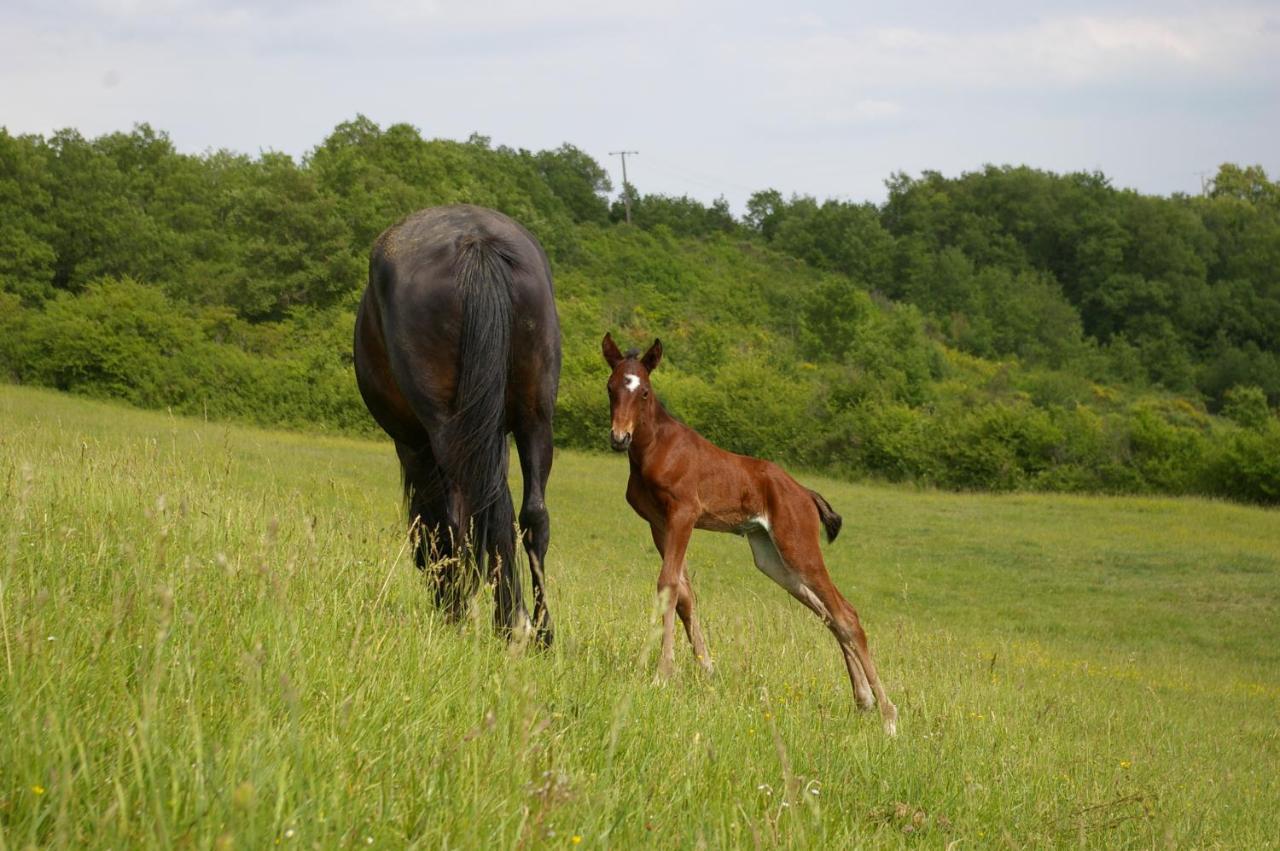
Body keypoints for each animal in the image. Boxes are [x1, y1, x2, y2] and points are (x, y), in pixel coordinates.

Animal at [358, 207, 563, 644]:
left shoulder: (413, 446)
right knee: (531, 516)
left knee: (465, 514)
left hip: (443, 430)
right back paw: (537, 630)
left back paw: (485, 618)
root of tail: (477, 244)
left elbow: (443, 524)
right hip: (534, 419)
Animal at [601, 335, 896, 731]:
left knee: (846, 613)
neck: (656, 449)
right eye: (611, 387)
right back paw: (863, 700)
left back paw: (888, 716)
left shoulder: (683, 515)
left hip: (797, 546)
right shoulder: (658, 523)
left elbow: (668, 585)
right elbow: (685, 593)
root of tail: (805, 493)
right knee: (828, 613)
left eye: (644, 391)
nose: (620, 438)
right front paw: (706, 670)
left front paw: (662, 675)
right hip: (772, 558)